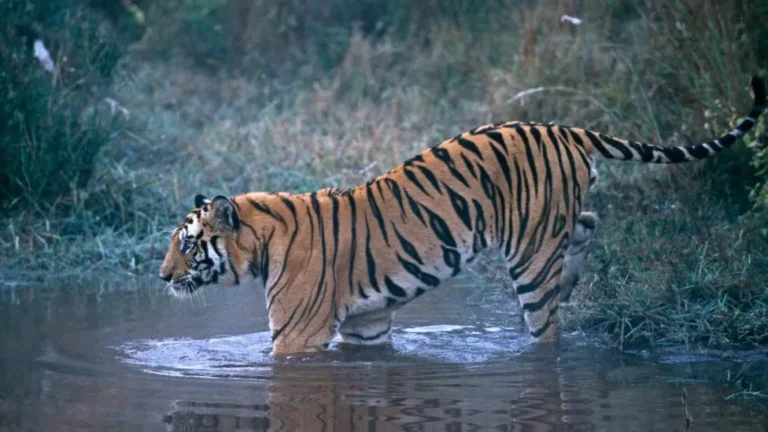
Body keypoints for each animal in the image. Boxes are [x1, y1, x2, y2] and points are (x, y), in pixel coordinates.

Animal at [159, 76, 765, 356]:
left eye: (187, 244)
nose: (161, 277)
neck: (260, 245)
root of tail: (563, 128)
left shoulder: (298, 337)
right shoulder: (366, 325)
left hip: (529, 253)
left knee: (547, 324)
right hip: (556, 224)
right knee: (588, 224)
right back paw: (572, 281)